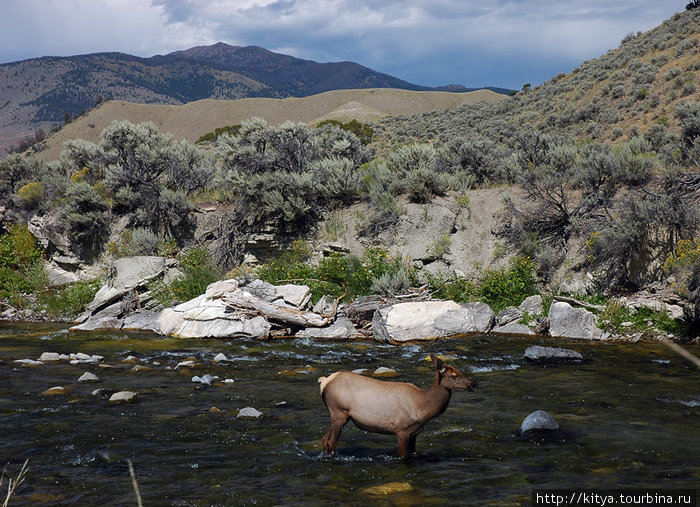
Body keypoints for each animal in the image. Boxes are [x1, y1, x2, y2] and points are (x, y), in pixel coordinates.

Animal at [320, 356, 478, 458]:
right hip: (339, 412)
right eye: (454, 375)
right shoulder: (402, 430)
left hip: (338, 416)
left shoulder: (415, 432)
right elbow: (404, 456)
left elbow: (414, 454)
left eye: (460, 371)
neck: (424, 407)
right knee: (330, 441)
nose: (474, 383)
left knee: (324, 439)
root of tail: (324, 382)